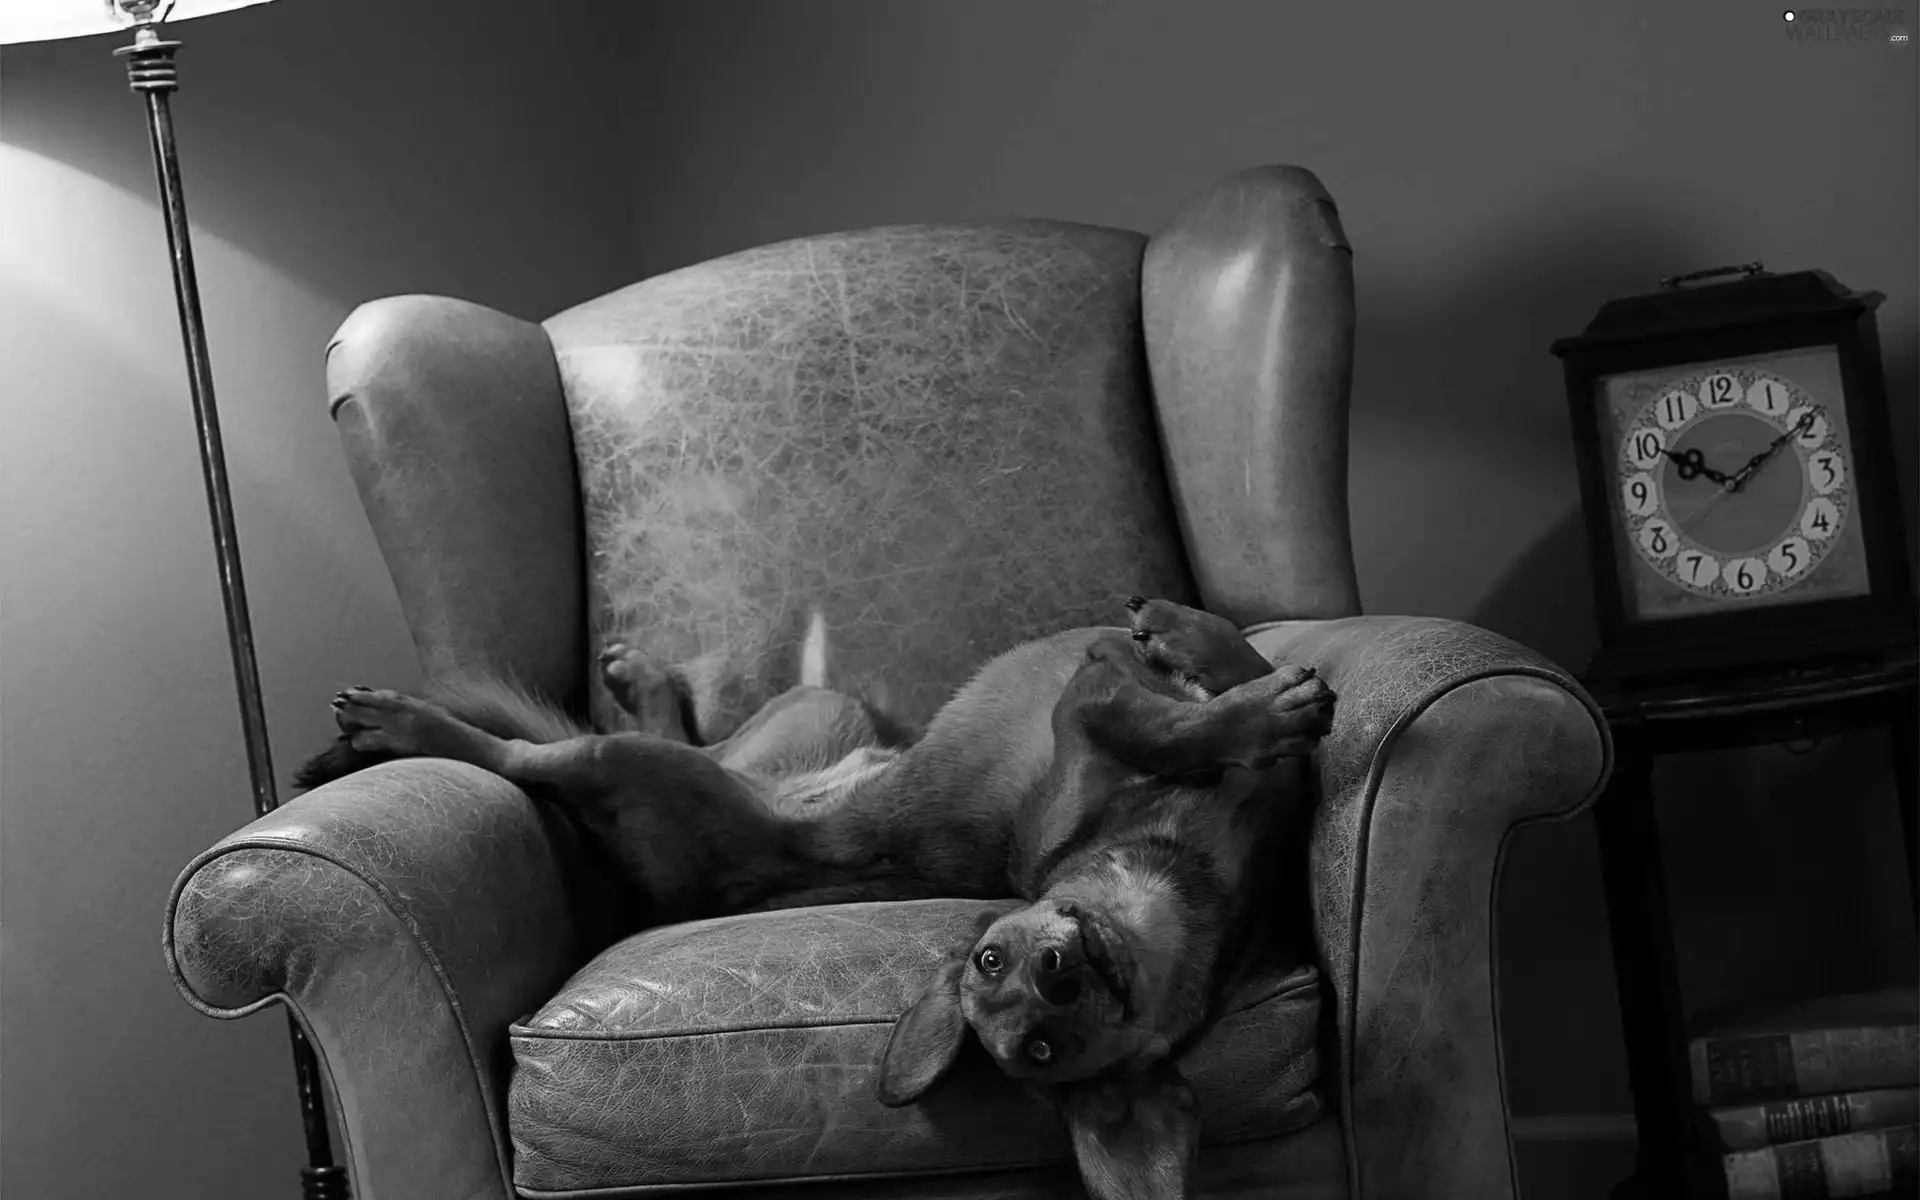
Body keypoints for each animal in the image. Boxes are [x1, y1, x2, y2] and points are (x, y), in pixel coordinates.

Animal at [295, 599, 1336, 1198]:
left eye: (1046, 1037)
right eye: (996, 975)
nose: (1060, 971)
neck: (1171, 875)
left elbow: (1223, 679)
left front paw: (1207, 651)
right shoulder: (1084, 713)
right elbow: (1159, 710)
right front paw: (1236, 692)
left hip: (809, 714)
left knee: (686, 734)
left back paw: (637, 677)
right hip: (634, 763)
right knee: (523, 752)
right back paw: (406, 724)